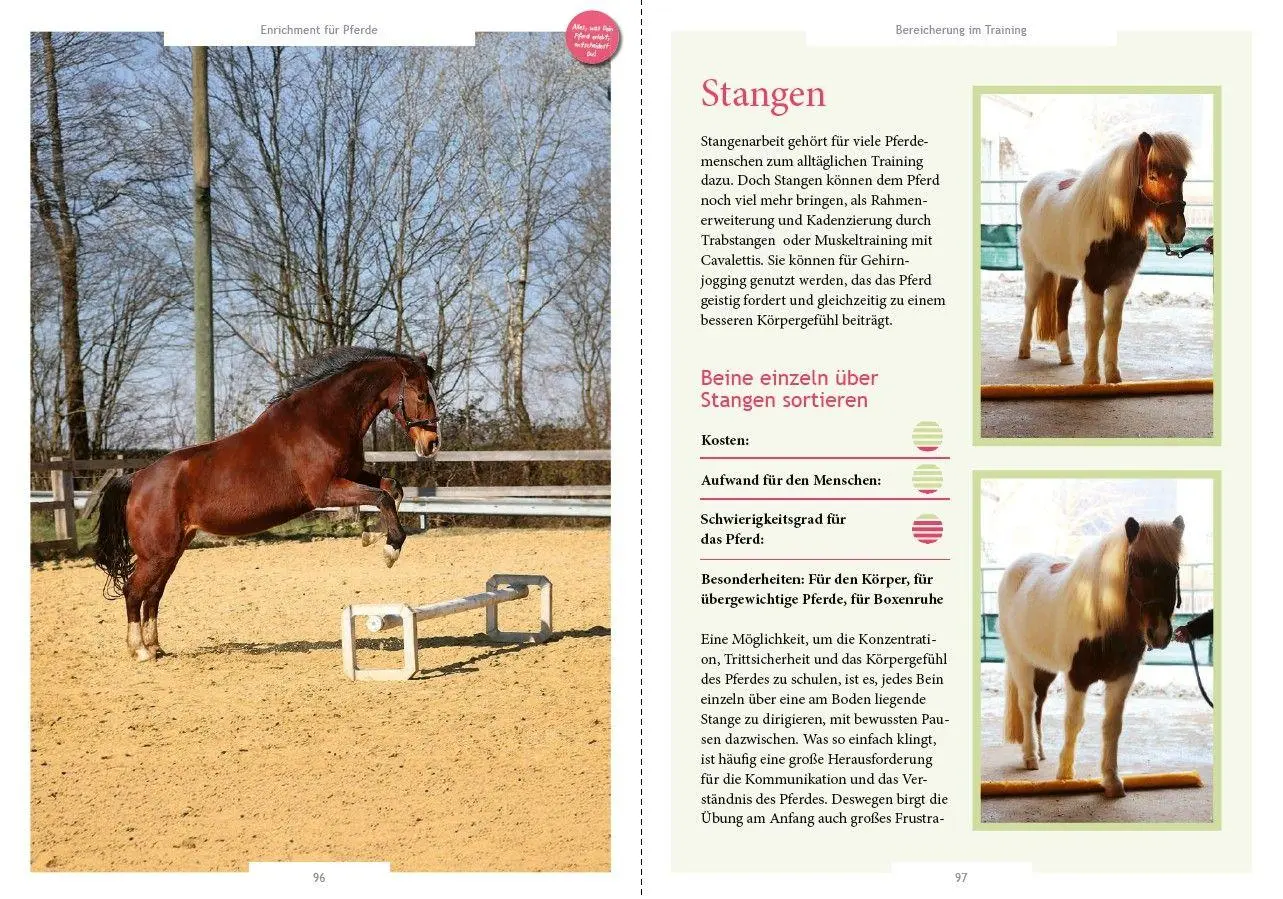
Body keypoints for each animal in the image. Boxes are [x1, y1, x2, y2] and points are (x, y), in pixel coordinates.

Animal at [92, 346, 441, 662]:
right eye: (422, 395)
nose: (431, 444)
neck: (324, 420)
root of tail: (138, 478)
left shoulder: (352, 475)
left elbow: (392, 489)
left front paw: (371, 536)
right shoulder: (327, 490)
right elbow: (382, 497)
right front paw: (390, 549)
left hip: (172, 550)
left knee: (153, 594)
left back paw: (155, 647)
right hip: (156, 554)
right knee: (134, 591)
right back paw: (139, 650)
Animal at [997, 515, 1184, 798]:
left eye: (1174, 571)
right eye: (1137, 571)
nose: (1160, 634)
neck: (1102, 618)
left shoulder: (1122, 677)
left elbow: (1112, 726)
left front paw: (1111, 780)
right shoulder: (1077, 676)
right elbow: (1074, 721)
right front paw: (1065, 774)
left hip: (1045, 667)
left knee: (1039, 703)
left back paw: (1040, 752)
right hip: (1020, 660)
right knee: (1028, 703)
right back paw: (1030, 756)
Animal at [1016, 132, 1191, 384]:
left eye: (1183, 176)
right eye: (1152, 175)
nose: (1175, 231)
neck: (1111, 224)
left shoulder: (1122, 282)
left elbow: (1113, 325)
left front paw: (1112, 374)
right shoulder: (1094, 283)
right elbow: (1095, 325)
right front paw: (1091, 376)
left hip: (1067, 273)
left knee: (1062, 304)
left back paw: (1066, 355)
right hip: (1034, 267)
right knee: (1030, 302)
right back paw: (1023, 349)